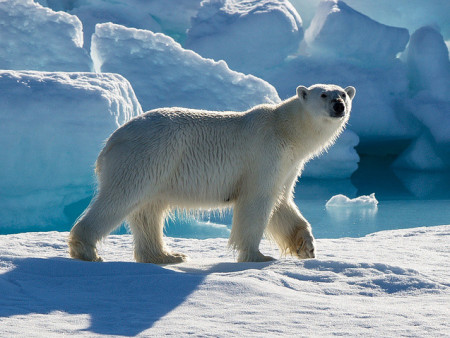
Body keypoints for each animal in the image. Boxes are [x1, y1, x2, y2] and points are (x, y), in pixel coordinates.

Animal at [68, 84, 356, 264]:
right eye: (323, 94)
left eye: (343, 93)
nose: (339, 105)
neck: (285, 129)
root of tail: (110, 141)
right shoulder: (264, 154)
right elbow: (257, 202)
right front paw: (258, 256)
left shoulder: (288, 165)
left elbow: (282, 203)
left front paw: (306, 246)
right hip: (145, 157)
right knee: (120, 198)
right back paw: (86, 250)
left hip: (157, 169)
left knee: (148, 211)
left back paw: (167, 256)